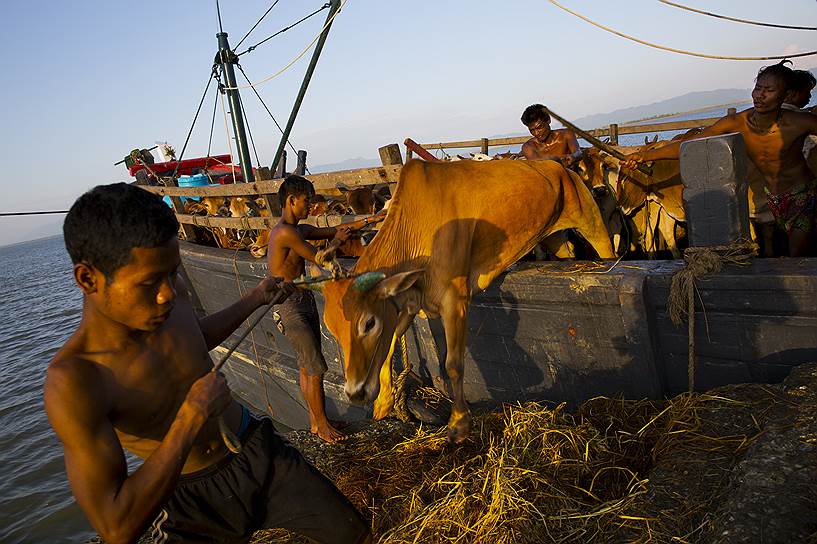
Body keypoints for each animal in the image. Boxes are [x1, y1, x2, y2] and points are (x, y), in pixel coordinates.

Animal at [318, 157, 612, 442]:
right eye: (331, 330)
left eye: (368, 323)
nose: (354, 393)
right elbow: (389, 346)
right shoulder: (408, 303)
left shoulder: (455, 300)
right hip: (553, 238)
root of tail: (558, 165)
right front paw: (383, 402)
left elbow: (453, 364)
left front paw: (459, 423)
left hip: (591, 220)